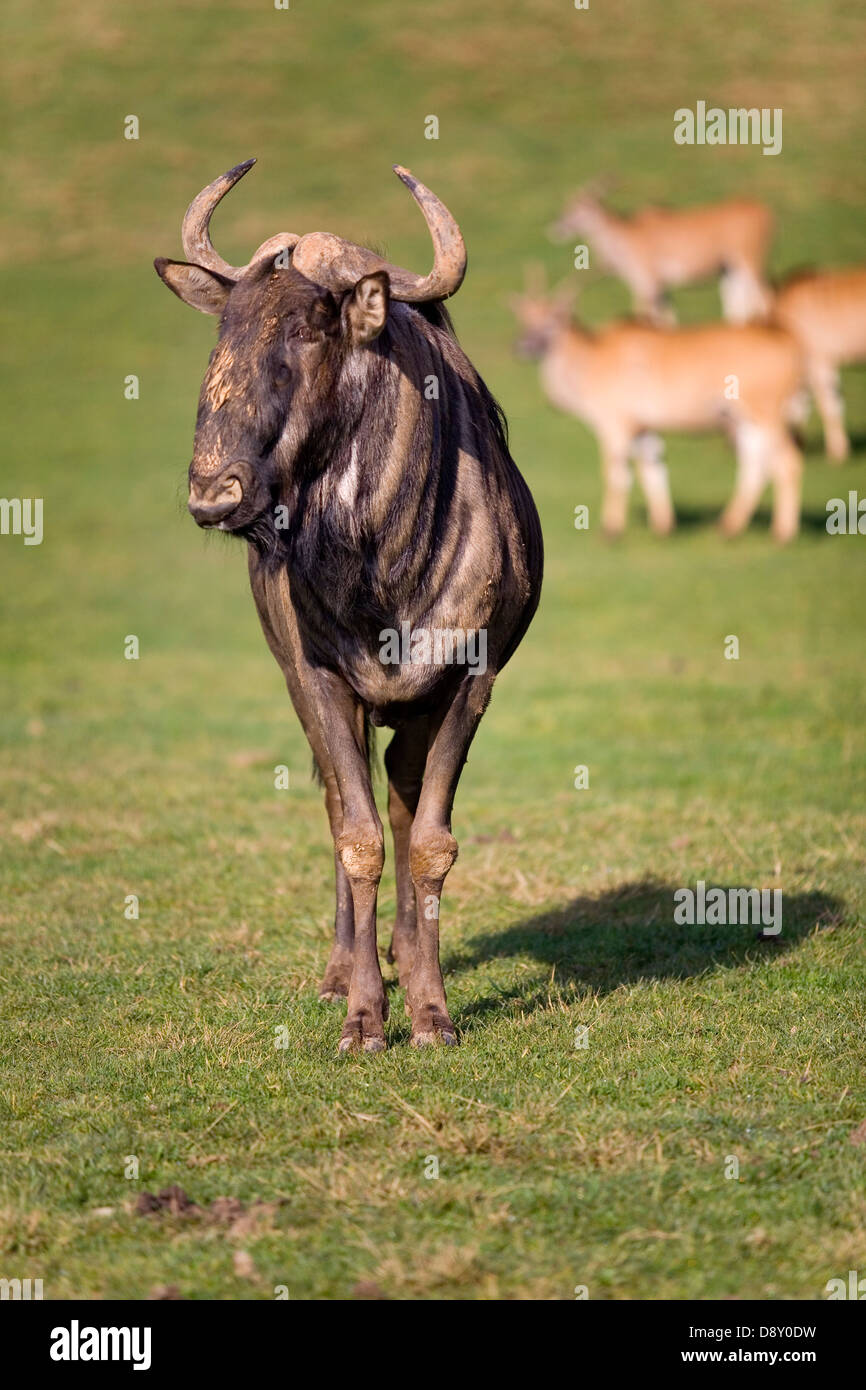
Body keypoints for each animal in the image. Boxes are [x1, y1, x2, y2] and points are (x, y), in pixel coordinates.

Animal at [508, 265, 806, 542]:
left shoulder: (615, 425)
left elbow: (617, 474)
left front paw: (611, 530)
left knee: (787, 462)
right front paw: (663, 527)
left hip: (767, 414)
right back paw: (729, 527)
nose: (522, 345)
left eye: (552, 320)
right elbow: (653, 472)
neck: (592, 356)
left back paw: (783, 533)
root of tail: (788, 341)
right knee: (755, 466)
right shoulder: (644, 428)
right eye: (526, 319)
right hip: (744, 420)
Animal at [547, 186, 772, 323]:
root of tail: (762, 209)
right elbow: (668, 319)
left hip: (749, 261)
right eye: (567, 207)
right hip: (731, 269)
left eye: (575, 209)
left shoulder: (646, 284)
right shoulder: (660, 287)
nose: (557, 227)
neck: (625, 233)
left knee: (763, 301)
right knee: (739, 309)